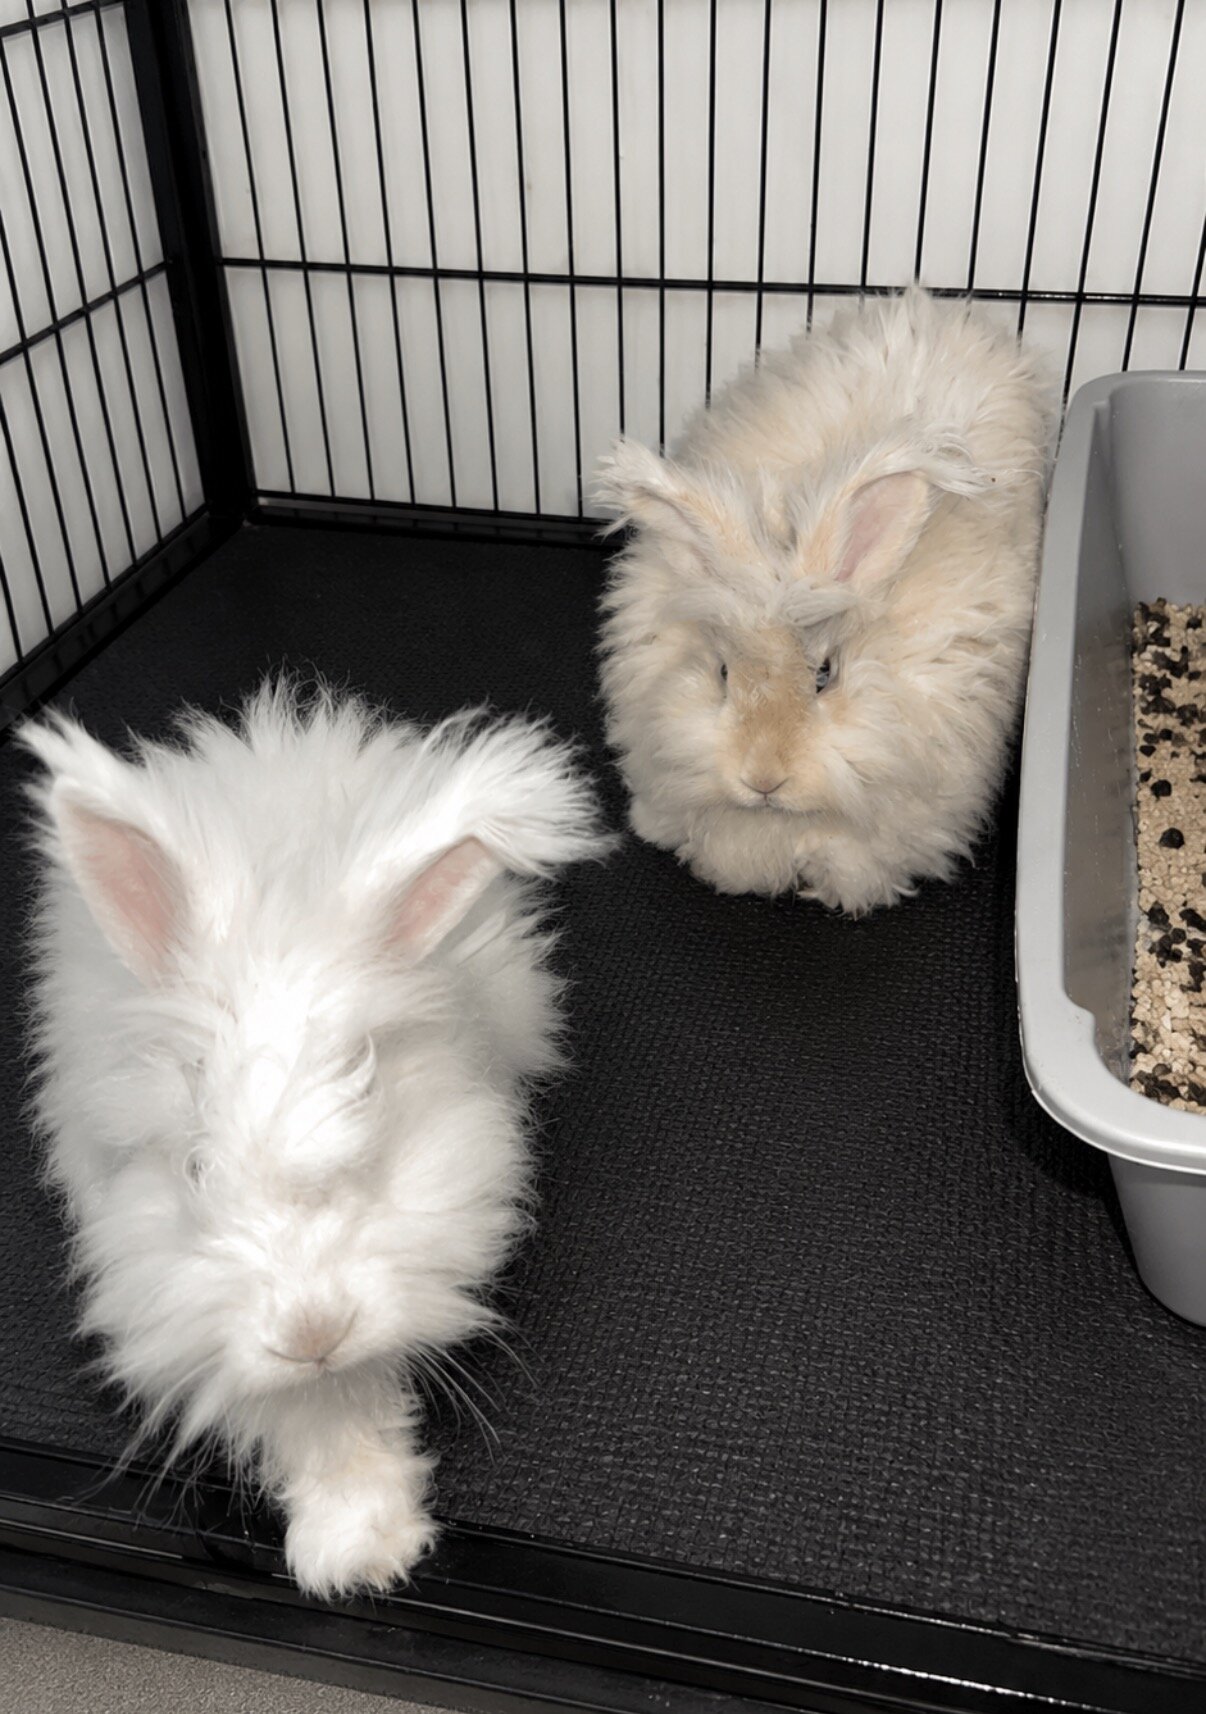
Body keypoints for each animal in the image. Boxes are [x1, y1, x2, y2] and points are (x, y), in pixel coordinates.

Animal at [22, 680, 608, 1600]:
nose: (311, 1335)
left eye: (371, 1149)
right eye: (196, 1169)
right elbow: (311, 1420)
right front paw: (357, 1554)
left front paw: (371, 1552)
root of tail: (282, 731)